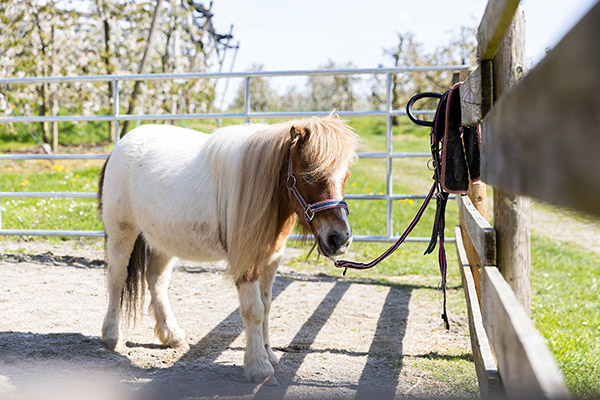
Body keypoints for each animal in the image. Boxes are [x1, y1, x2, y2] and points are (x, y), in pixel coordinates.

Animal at [98, 115, 358, 384]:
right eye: (308, 176)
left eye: (346, 175)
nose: (340, 239)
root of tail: (119, 146)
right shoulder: (247, 261)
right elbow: (254, 310)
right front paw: (259, 367)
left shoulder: (271, 258)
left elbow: (267, 306)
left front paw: (269, 355)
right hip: (122, 231)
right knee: (117, 278)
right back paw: (112, 336)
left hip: (164, 241)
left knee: (156, 280)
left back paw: (172, 336)